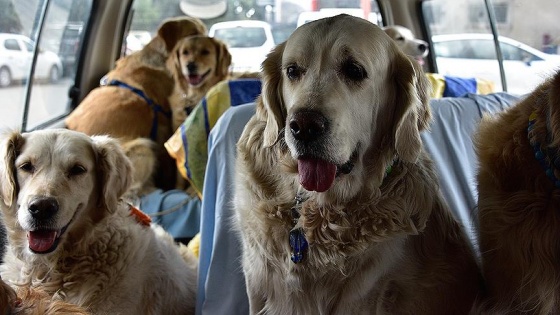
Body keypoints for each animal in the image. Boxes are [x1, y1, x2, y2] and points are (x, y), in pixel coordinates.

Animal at [232, 13, 482, 314]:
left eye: (354, 70)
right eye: (292, 71)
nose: (303, 127)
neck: (311, 208)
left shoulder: (364, 294)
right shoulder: (257, 282)